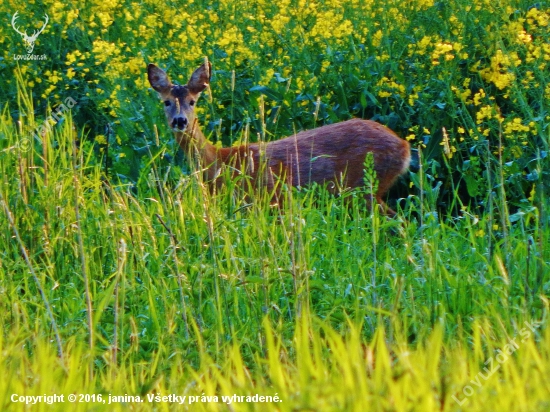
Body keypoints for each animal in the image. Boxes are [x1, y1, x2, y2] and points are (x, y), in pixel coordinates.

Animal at [149, 60, 412, 219]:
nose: (180, 121)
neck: (219, 163)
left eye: (192, 101)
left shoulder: (264, 200)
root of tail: (405, 147)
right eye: (166, 102)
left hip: (365, 186)